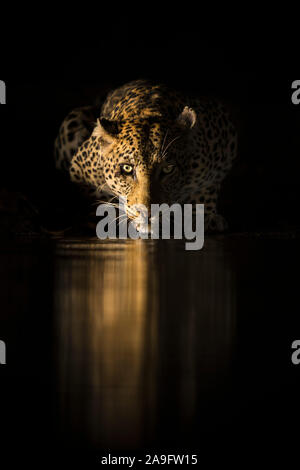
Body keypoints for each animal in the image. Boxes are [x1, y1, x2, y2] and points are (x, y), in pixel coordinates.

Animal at [54, 80, 237, 232]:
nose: (147, 213)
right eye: (127, 168)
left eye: (168, 169)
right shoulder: (79, 171)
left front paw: (202, 217)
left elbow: (206, 190)